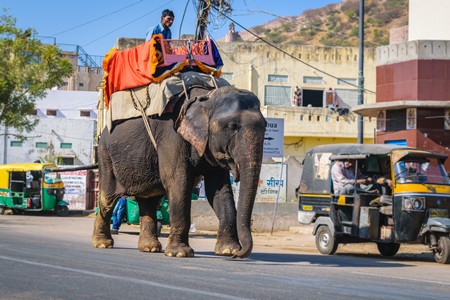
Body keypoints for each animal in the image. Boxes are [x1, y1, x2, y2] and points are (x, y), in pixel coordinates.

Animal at [92, 84, 268, 258]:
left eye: (266, 126)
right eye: (232, 126)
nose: (238, 254)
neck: (206, 97)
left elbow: (219, 190)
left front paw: (227, 250)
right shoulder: (172, 136)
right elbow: (179, 183)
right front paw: (180, 253)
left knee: (148, 199)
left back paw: (150, 248)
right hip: (105, 156)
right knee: (108, 199)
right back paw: (103, 243)